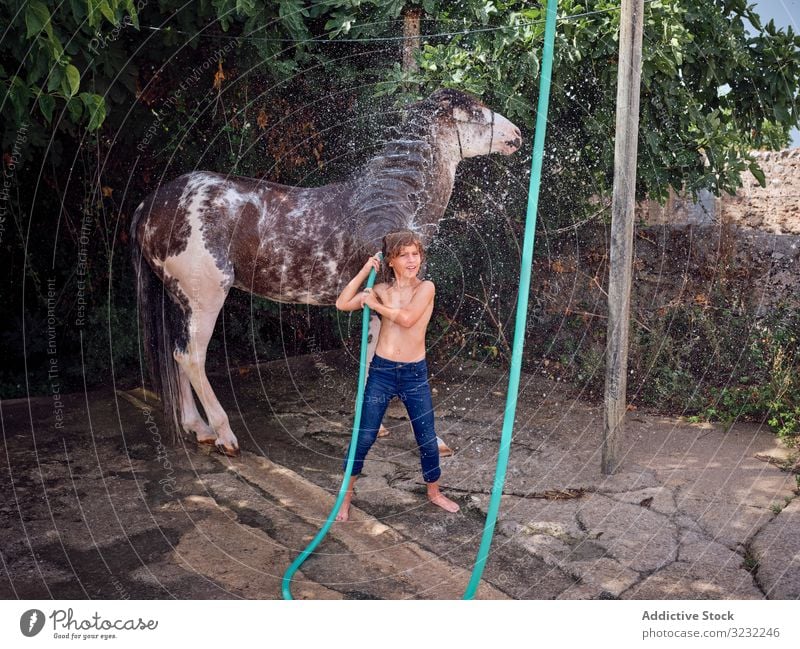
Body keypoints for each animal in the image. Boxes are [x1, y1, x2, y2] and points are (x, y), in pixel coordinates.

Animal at [130, 88, 520, 456]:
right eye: (475, 113)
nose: (516, 134)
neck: (392, 209)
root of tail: (149, 206)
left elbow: (373, 361)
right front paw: (431, 441)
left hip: (180, 301)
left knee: (175, 355)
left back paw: (199, 428)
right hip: (206, 298)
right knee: (191, 357)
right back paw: (225, 435)